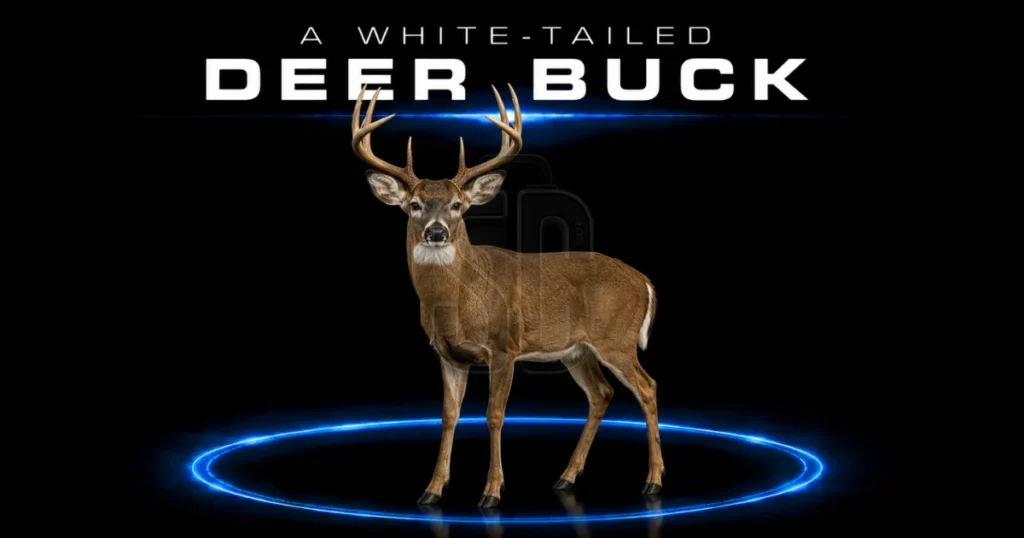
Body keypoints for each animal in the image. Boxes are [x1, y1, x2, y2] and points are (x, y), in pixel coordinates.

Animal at [350, 83, 663, 508]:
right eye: (414, 205)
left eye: (457, 205)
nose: (436, 231)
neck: (457, 302)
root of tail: (644, 280)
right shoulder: (447, 353)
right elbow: (449, 415)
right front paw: (432, 489)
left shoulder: (503, 345)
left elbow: (494, 414)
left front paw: (492, 491)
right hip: (577, 351)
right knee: (601, 394)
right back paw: (565, 477)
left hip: (615, 338)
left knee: (647, 388)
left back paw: (653, 482)